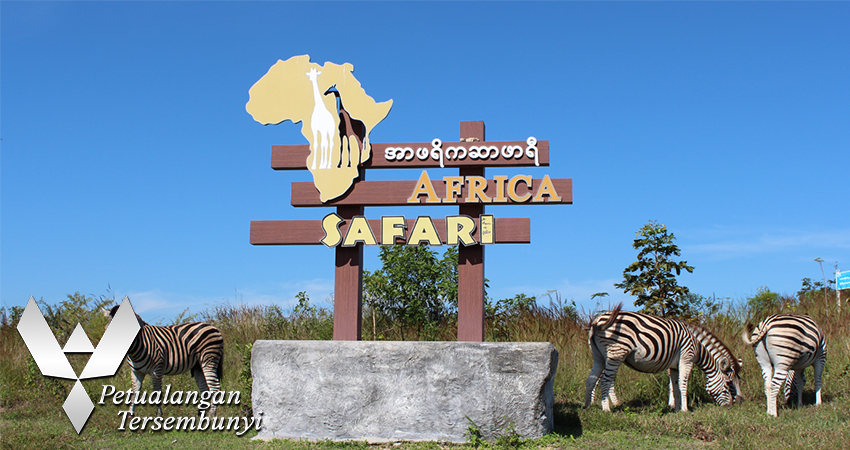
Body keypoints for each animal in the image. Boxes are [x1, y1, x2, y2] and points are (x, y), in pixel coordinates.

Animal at [584, 304, 744, 414]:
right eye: (728, 384)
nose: (732, 406)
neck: (699, 347)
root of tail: (597, 320)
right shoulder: (687, 358)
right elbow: (683, 384)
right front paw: (685, 410)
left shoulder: (674, 366)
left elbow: (675, 386)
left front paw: (676, 409)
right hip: (616, 353)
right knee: (606, 380)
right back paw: (607, 409)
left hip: (599, 356)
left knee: (592, 379)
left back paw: (587, 406)